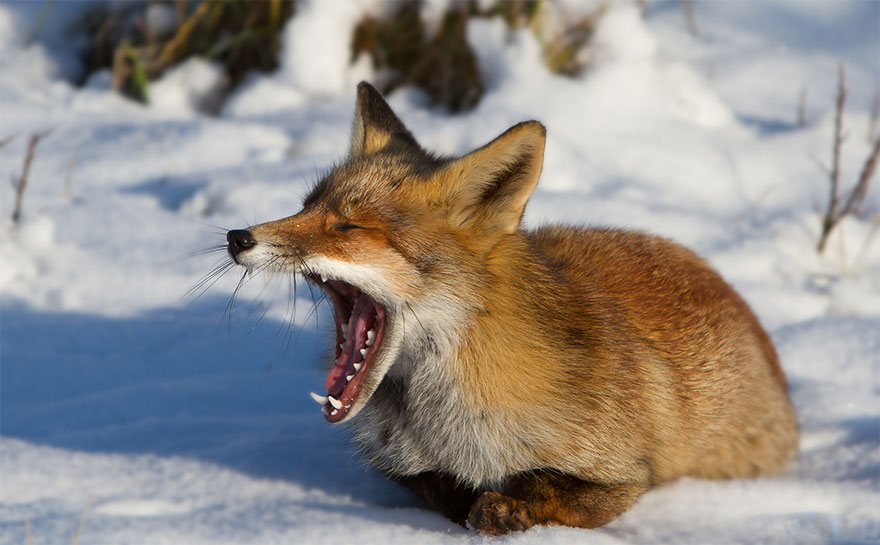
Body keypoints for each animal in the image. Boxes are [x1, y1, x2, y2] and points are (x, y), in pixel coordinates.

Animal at [225, 81, 798, 535]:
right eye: (305, 207)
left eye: (347, 226)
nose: (237, 237)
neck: (448, 420)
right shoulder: (401, 466)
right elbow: (441, 488)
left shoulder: (628, 473)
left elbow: (549, 488)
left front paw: (506, 508)